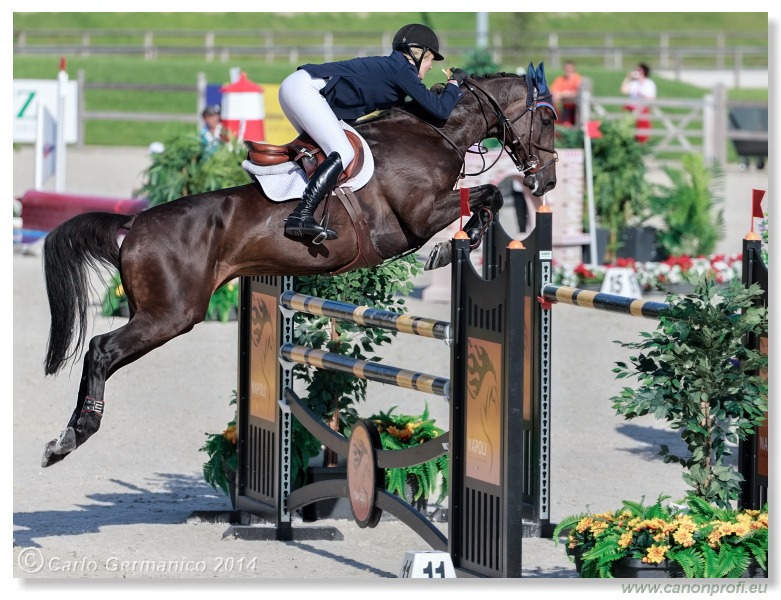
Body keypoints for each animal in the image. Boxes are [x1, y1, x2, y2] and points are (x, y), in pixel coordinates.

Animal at [39, 65, 556, 468]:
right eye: (549, 119)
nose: (547, 182)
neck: (434, 131)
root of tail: (135, 225)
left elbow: (488, 195)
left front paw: (463, 242)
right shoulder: (417, 217)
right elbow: (487, 194)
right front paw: (449, 249)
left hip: (161, 313)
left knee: (101, 351)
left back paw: (66, 436)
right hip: (170, 314)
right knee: (101, 350)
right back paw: (70, 438)